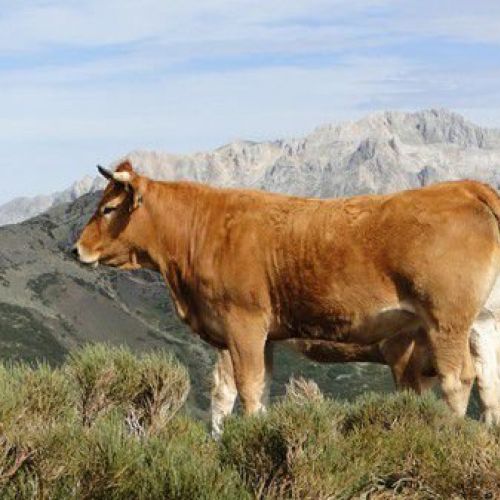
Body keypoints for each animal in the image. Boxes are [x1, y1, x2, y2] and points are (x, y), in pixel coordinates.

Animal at [72, 161, 500, 434]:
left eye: (109, 208)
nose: (76, 249)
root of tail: (464, 186)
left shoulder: (242, 324)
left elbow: (244, 390)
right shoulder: (251, 336)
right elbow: (244, 392)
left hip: (445, 319)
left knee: (459, 379)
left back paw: (450, 437)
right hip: (484, 322)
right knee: (489, 382)